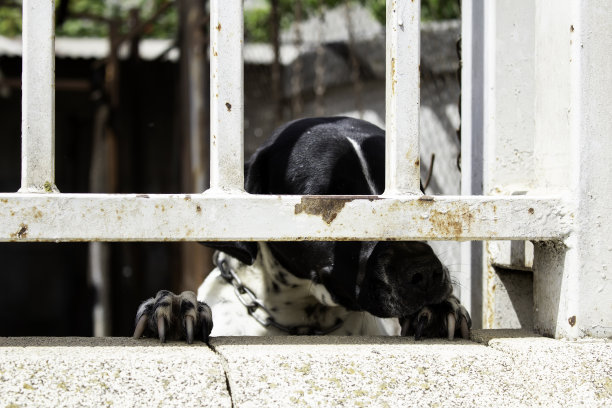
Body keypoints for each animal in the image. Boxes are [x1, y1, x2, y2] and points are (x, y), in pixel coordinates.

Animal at [134, 116, 470, 342]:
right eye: (326, 201)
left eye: (418, 192)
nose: (425, 272)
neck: (307, 324)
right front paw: (175, 310)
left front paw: (437, 313)